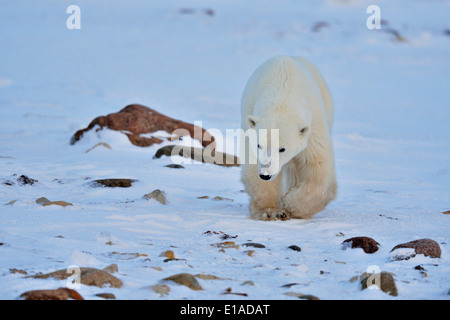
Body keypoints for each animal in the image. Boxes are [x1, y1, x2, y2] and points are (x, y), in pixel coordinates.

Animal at [241, 55, 336, 220]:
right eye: (259, 145)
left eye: (282, 149)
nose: (265, 175)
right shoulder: (251, 127)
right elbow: (253, 163)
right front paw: (272, 211)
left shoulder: (313, 126)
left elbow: (317, 165)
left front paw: (291, 203)